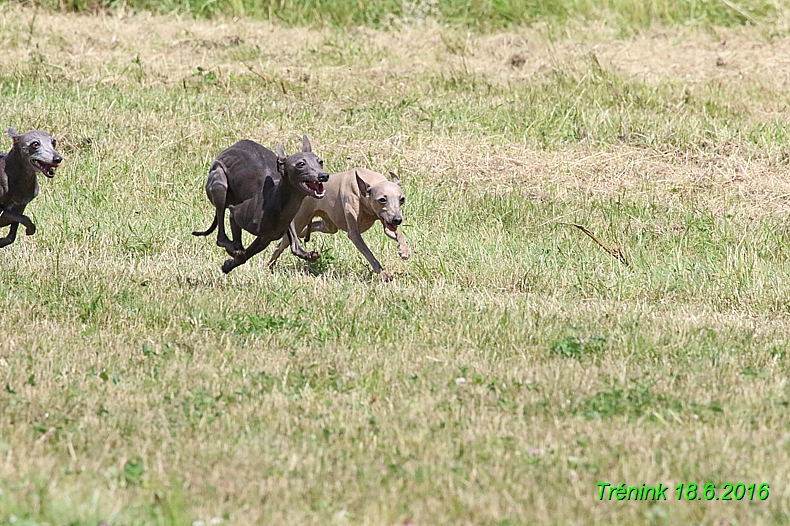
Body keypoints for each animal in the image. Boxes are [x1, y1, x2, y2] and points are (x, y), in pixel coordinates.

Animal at [193, 136, 332, 274]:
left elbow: (245, 255)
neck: (275, 199)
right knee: (220, 234)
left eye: (320, 161)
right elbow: (240, 251)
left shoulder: (266, 237)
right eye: (301, 164)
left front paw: (228, 264)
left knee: (294, 244)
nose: (324, 175)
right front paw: (233, 253)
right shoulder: (235, 215)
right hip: (219, 183)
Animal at [270, 170, 412, 284]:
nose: (398, 219)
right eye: (382, 199)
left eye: (402, 199)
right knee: (281, 244)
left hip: (328, 226)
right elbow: (370, 255)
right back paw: (270, 265)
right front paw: (383, 274)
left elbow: (398, 234)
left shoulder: (387, 223)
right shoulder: (354, 234)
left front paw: (404, 250)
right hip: (302, 217)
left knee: (308, 230)